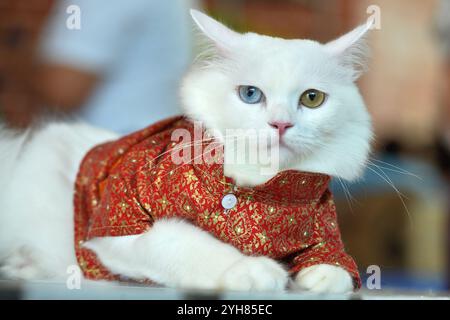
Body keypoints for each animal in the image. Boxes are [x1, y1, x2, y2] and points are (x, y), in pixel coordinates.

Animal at [0, 10, 372, 294]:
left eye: (312, 99)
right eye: (250, 94)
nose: (281, 124)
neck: (263, 194)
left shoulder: (321, 227)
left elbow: (334, 261)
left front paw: (317, 277)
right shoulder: (119, 226)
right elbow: (189, 244)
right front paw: (254, 271)